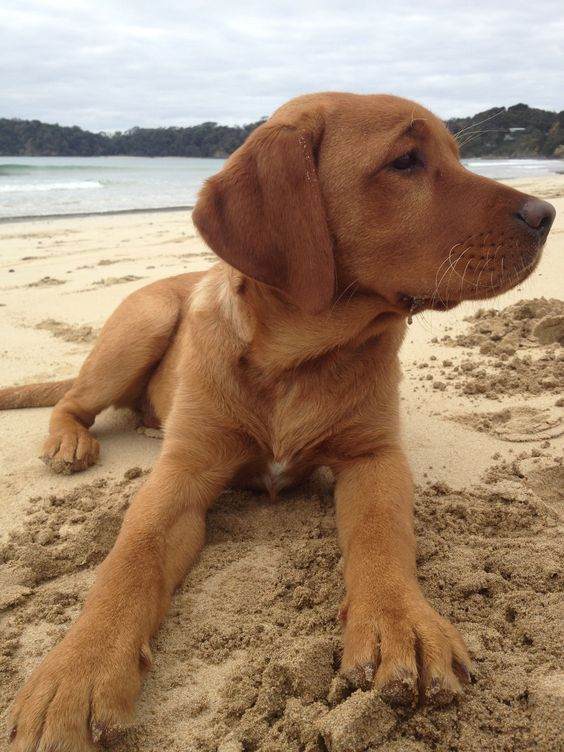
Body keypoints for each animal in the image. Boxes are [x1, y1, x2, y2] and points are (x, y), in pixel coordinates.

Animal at [1, 91, 556, 748]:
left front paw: (401, 620)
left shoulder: (374, 455)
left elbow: (383, 532)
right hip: (146, 320)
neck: (295, 360)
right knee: (72, 401)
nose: (546, 214)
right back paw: (71, 443)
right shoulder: (182, 472)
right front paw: (78, 670)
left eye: (455, 155)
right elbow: (129, 558)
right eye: (405, 161)